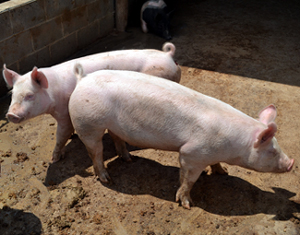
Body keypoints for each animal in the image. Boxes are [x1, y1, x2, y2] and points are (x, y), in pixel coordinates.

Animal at [1, 42, 180, 162]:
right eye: (12, 94)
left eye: (30, 95)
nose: (10, 115)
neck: (52, 91)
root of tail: (168, 55)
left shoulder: (64, 112)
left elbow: (62, 133)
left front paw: (54, 159)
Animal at [69, 64, 294, 209]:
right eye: (272, 151)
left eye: (278, 146)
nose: (291, 163)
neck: (236, 145)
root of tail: (82, 79)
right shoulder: (192, 153)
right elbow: (189, 179)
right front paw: (187, 205)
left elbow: (215, 165)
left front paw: (223, 172)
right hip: (87, 123)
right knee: (96, 152)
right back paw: (106, 179)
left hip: (111, 125)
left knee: (116, 138)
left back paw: (129, 159)